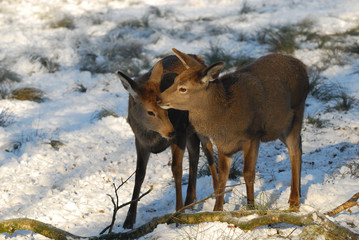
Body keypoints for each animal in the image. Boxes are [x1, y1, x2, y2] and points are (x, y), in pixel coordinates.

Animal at [118, 54, 219, 229]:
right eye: (150, 112)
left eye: (167, 109)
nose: (170, 131)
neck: (152, 137)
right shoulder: (140, 141)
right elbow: (139, 174)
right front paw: (128, 220)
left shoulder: (180, 132)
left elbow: (176, 169)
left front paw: (178, 213)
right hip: (189, 131)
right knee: (194, 153)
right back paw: (190, 201)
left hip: (198, 121)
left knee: (208, 149)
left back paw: (216, 194)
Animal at [159, 48, 310, 212]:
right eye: (174, 80)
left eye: (183, 89)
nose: (159, 99)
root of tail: (303, 67)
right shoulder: (223, 144)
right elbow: (223, 176)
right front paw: (217, 210)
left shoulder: (253, 135)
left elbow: (248, 173)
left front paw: (251, 207)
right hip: (279, 126)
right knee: (299, 145)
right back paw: (297, 194)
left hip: (296, 114)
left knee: (294, 150)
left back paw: (294, 201)